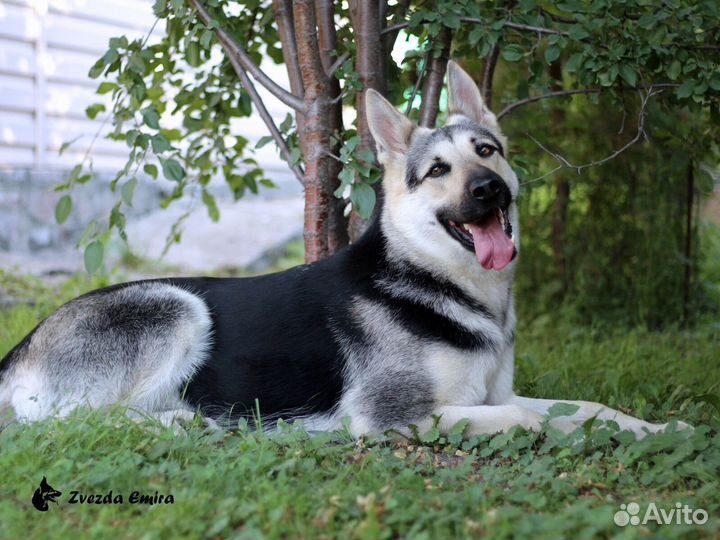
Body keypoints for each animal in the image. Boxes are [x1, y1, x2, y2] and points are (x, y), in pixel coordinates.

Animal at [0, 61, 688, 438]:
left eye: (486, 152)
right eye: (437, 171)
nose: (489, 189)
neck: (439, 282)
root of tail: (19, 350)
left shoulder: (495, 396)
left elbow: (591, 408)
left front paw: (660, 428)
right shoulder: (400, 417)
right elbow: (534, 420)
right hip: (175, 307)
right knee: (67, 420)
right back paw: (180, 420)